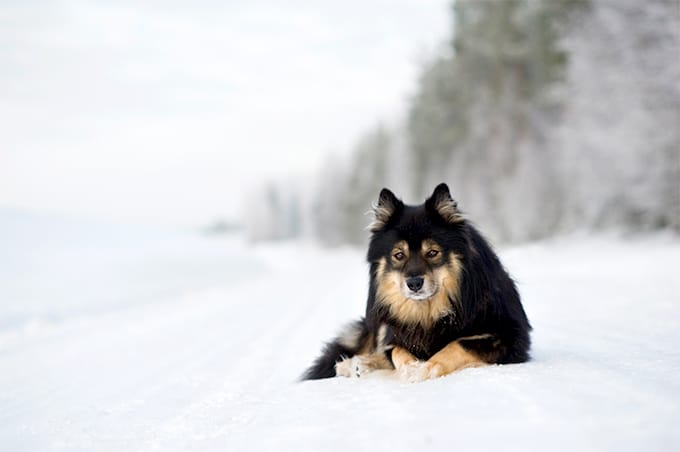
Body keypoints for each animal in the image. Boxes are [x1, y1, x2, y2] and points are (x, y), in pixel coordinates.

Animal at [302, 183, 532, 382]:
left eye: (432, 252)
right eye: (398, 255)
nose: (414, 283)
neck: (430, 313)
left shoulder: (508, 335)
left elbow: (457, 345)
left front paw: (425, 368)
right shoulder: (393, 334)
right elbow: (396, 351)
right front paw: (411, 367)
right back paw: (354, 365)